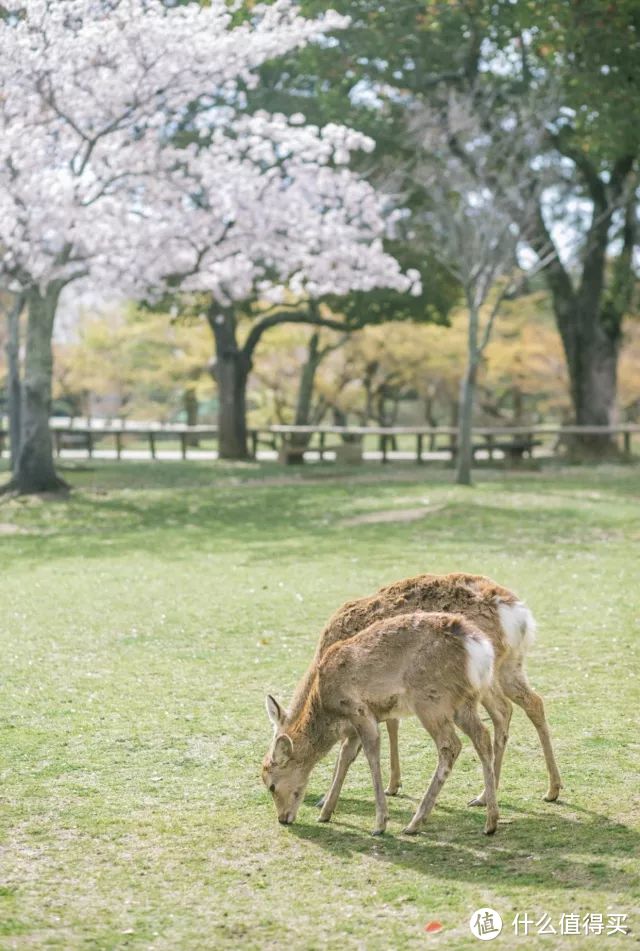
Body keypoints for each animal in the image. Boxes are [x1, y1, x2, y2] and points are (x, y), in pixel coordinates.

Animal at [262, 612, 498, 836]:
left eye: (271, 785)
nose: (282, 818)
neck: (328, 710)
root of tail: (481, 649)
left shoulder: (359, 710)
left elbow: (371, 754)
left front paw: (380, 823)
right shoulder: (353, 728)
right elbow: (345, 757)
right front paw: (325, 813)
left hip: (431, 700)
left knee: (450, 745)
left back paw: (415, 823)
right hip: (465, 702)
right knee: (483, 736)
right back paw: (490, 822)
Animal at [312, 572, 564, 812]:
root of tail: (519, 615)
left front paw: (325, 800)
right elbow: (392, 724)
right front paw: (393, 784)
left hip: (483, 680)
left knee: (502, 712)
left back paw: (486, 796)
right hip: (510, 666)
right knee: (530, 703)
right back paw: (550, 789)